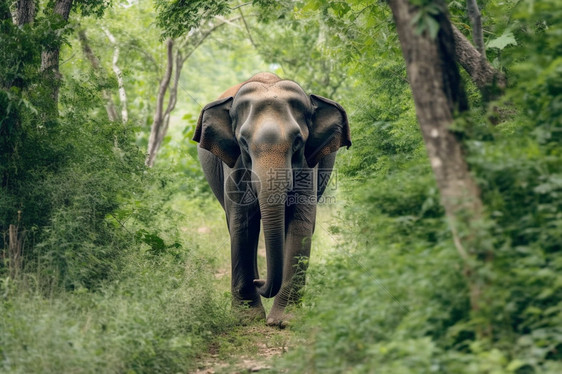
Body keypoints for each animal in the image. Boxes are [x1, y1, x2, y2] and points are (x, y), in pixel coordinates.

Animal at [192, 71, 350, 326]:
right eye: (243, 142)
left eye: (297, 141)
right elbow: (242, 221)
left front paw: (283, 321)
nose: (260, 283)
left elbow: (301, 222)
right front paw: (247, 319)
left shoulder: (308, 162)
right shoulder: (235, 164)